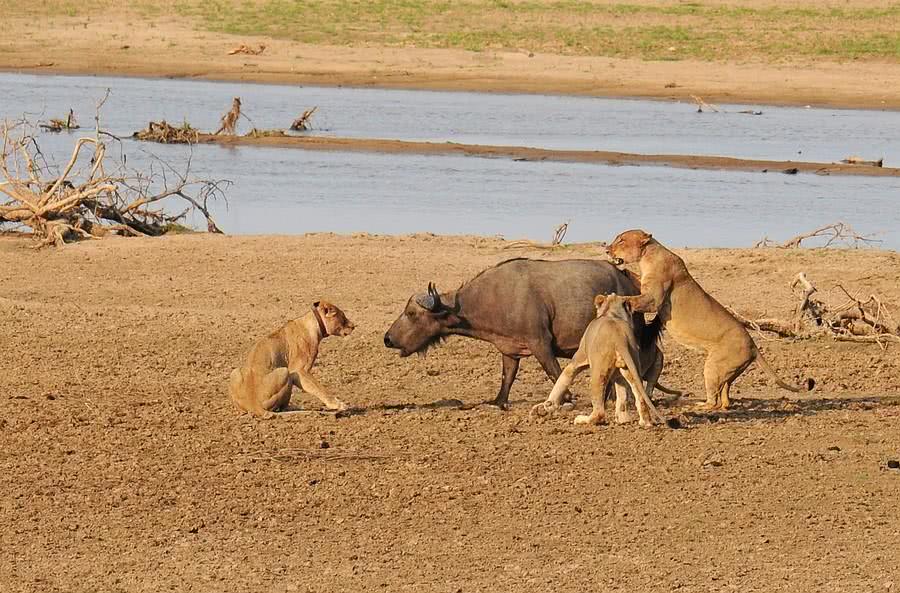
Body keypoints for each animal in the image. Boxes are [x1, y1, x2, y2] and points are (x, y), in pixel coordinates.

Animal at [384, 258, 652, 408]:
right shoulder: (509, 350)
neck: (494, 297)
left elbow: (555, 373)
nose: (387, 339)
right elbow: (507, 378)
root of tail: (627, 282)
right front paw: (498, 402)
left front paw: (564, 399)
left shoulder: (540, 344)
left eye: (411, 313)